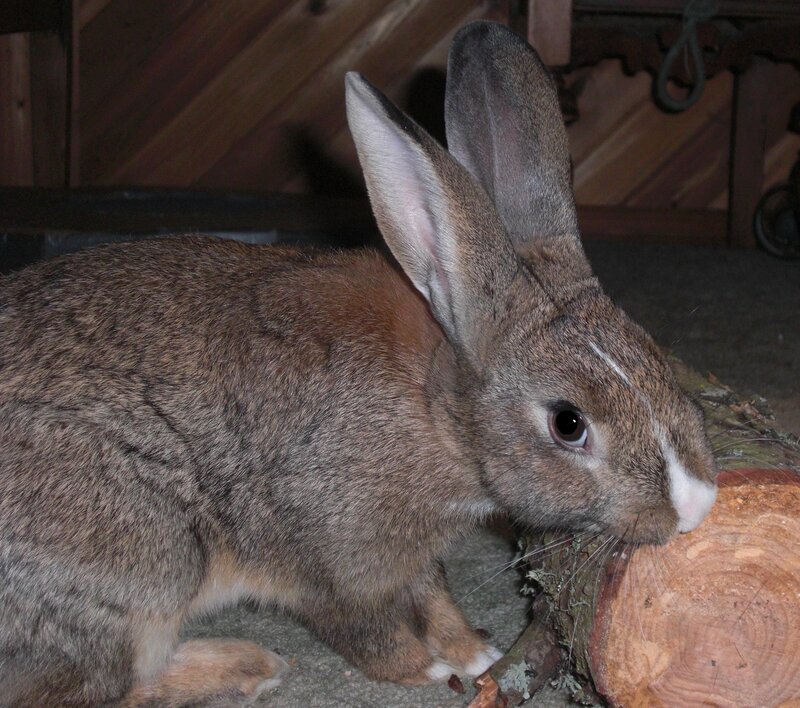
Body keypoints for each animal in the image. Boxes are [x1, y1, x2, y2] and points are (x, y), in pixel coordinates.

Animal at [0, 20, 717, 706]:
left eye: (653, 353)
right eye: (569, 423)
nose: (697, 504)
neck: (438, 413)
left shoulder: (415, 560)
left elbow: (435, 596)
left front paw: (475, 653)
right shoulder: (333, 563)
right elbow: (366, 630)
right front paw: (429, 669)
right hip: (145, 564)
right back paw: (250, 667)